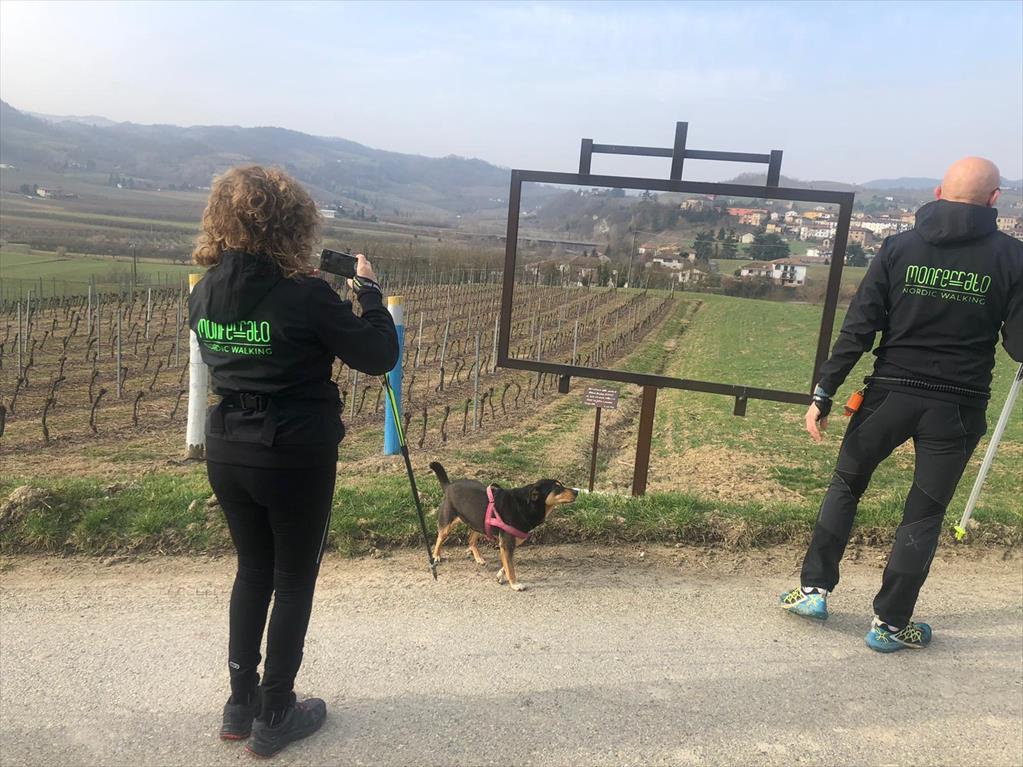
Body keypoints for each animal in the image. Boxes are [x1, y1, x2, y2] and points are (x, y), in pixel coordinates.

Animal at [428, 462, 578, 591]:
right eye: (557, 487)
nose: (577, 491)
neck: (526, 505)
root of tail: (449, 485)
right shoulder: (507, 543)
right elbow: (510, 568)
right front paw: (515, 584)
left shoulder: (509, 544)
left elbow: (507, 564)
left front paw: (500, 575)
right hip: (448, 523)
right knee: (440, 538)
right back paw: (436, 555)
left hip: (479, 523)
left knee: (471, 540)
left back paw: (478, 558)